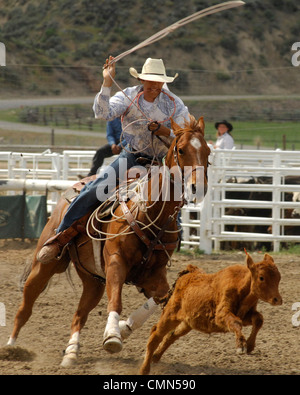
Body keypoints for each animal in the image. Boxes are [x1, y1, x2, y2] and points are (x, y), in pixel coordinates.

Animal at [139, 252, 282, 376]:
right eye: (261, 277)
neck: (242, 287)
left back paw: (156, 356)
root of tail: (188, 273)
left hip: (187, 323)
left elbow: (259, 319)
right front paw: (241, 345)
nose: (278, 300)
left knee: (171, 335)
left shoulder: (245, 315)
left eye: (279, 278)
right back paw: (144, 369)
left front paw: (250, 345)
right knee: (155, 335)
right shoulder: (220, 316)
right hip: (170, 315)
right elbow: (236, 322)